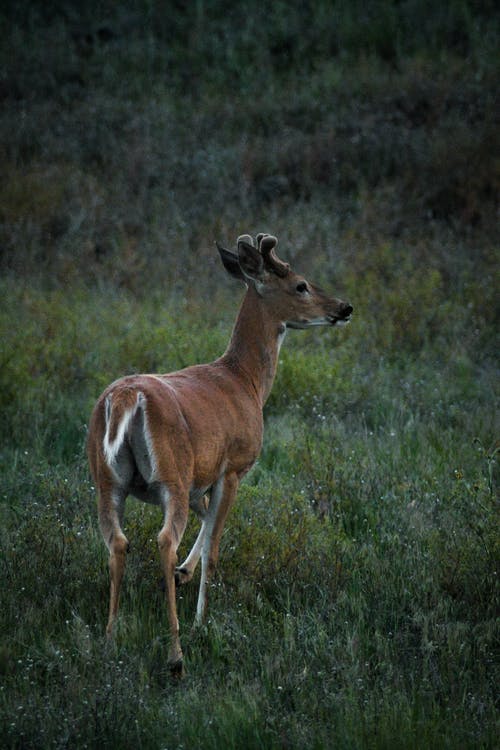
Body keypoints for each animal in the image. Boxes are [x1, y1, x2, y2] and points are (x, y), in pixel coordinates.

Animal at [87, 232, 352, 680]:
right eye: (301, 284)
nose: (343, 308)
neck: (245, 381)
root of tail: (125, 398)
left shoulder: (204, 478)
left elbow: (206, 522)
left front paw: (183, 574)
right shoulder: (234, 467)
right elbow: (214, 541)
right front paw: (199, 617)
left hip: (107, 480)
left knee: (118, 542)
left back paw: (109, 637)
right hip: (171, 474)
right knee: (163, 539)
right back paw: (176, 653)